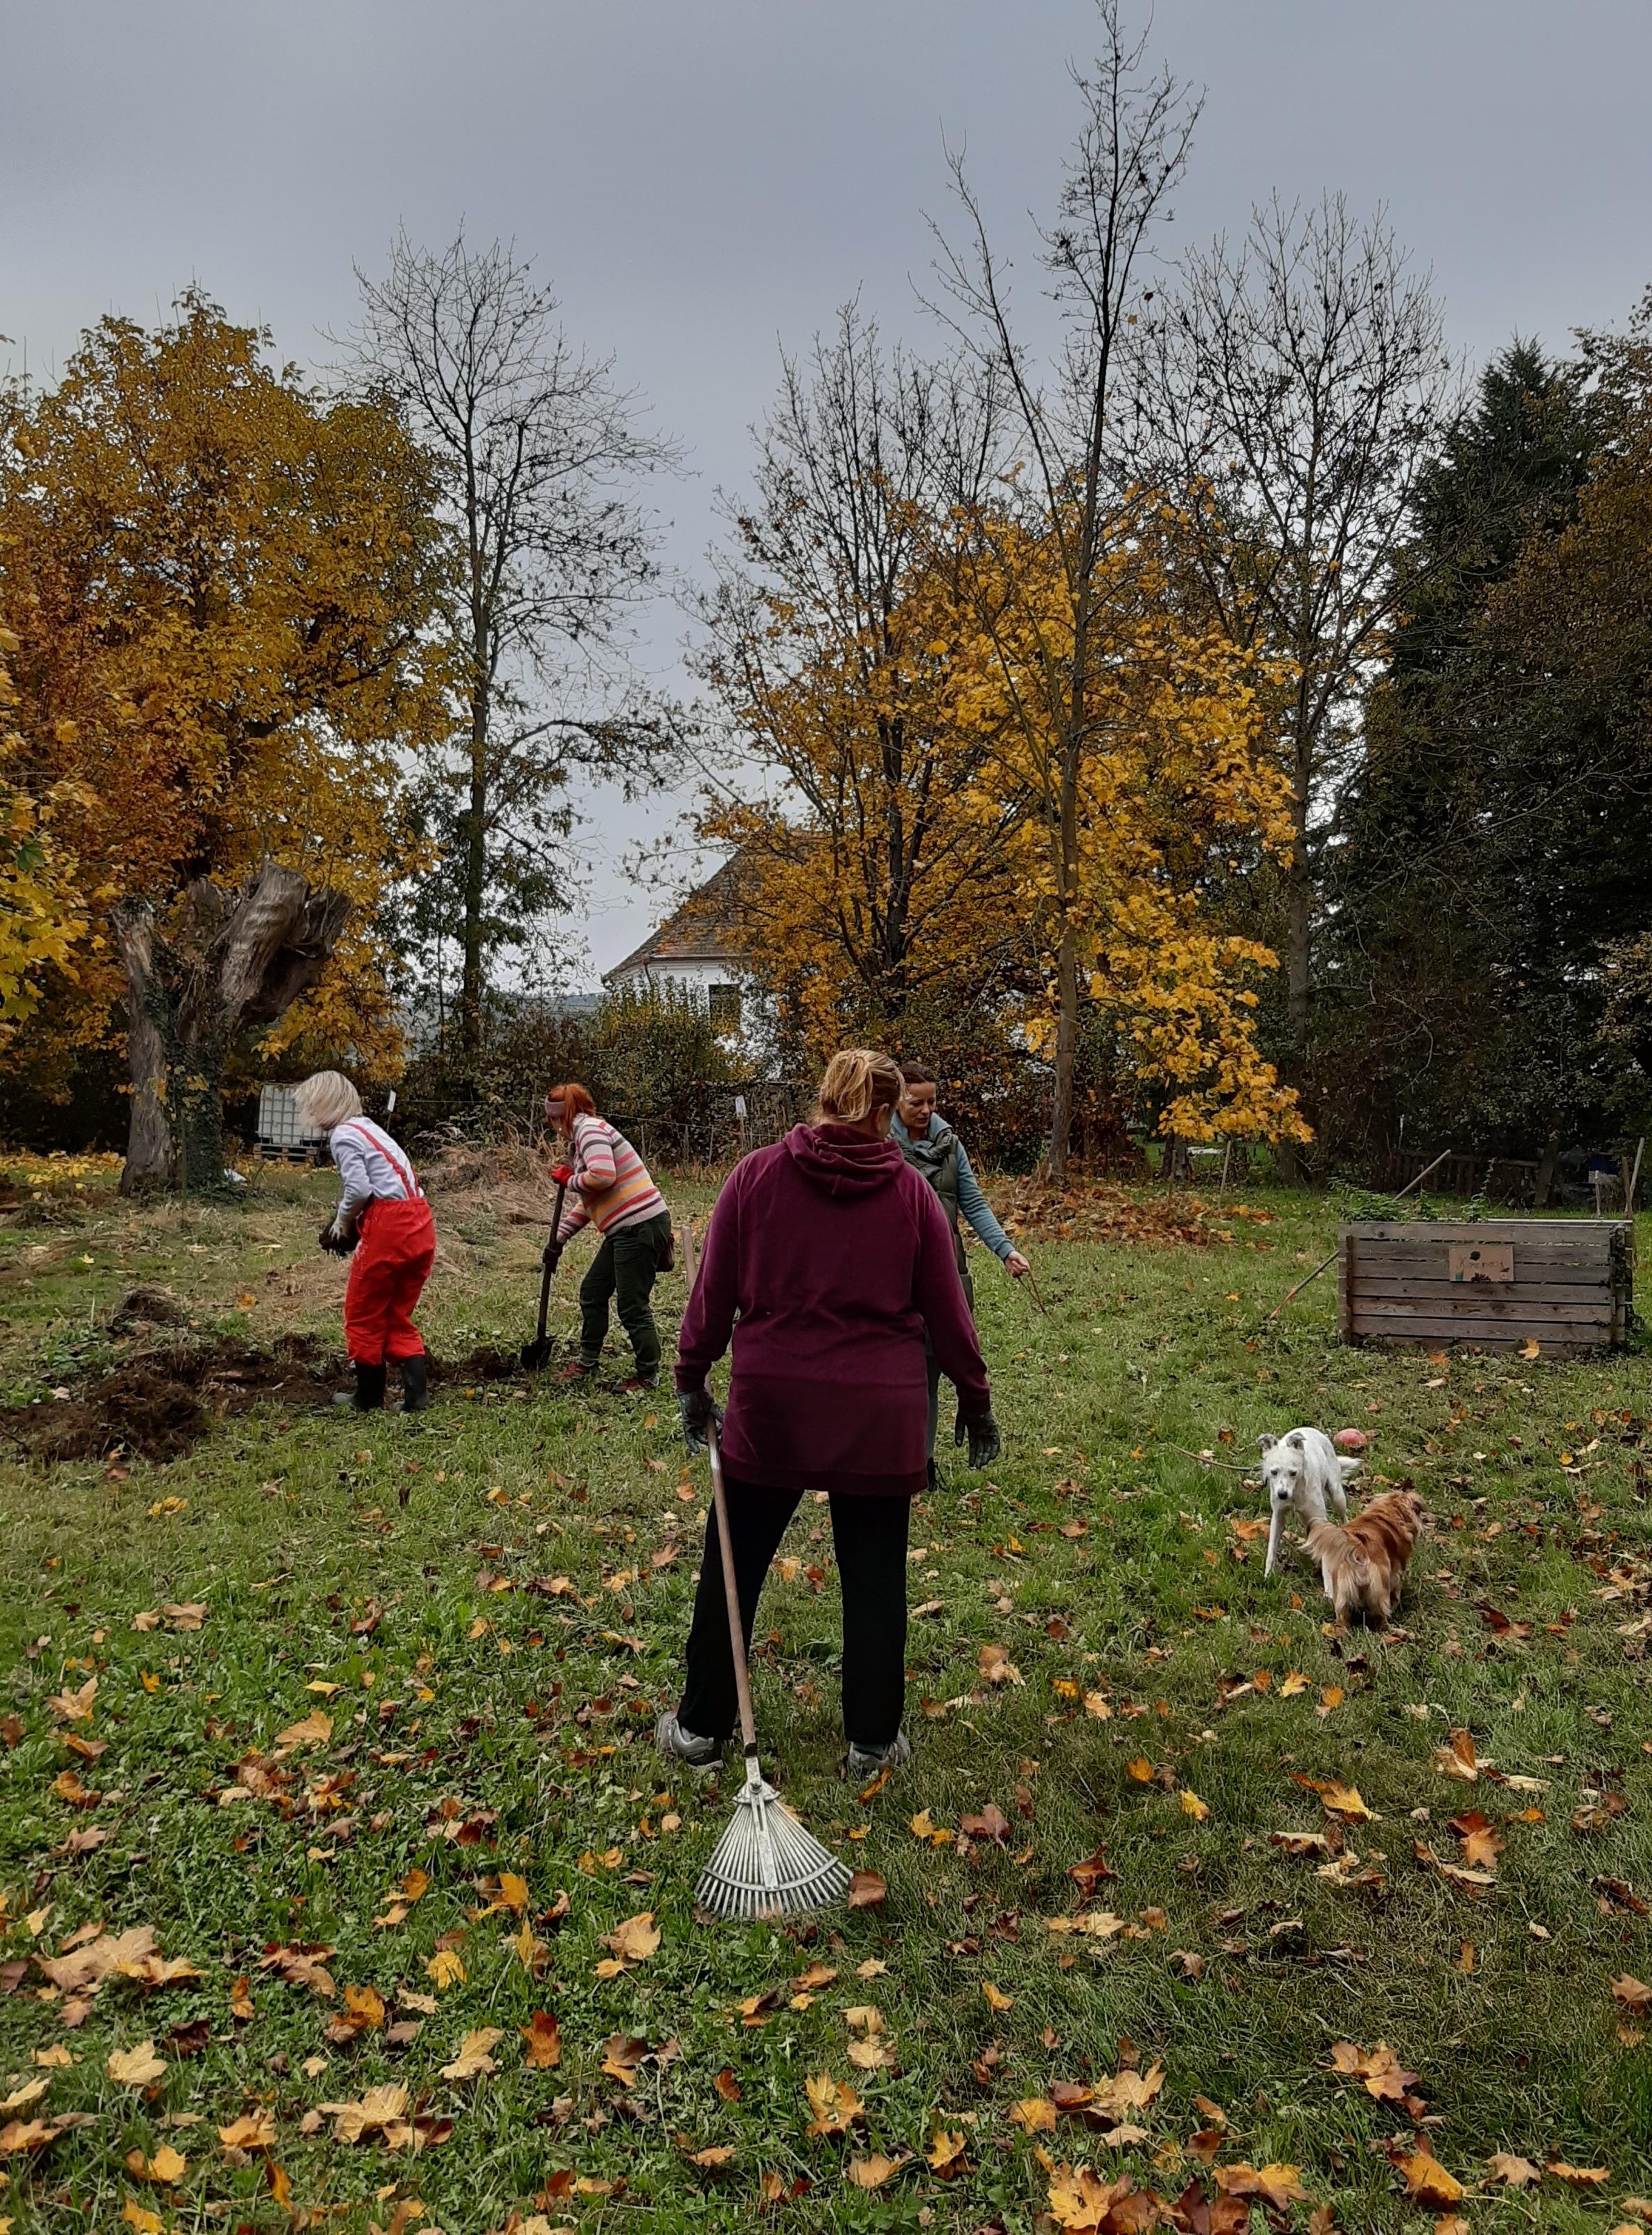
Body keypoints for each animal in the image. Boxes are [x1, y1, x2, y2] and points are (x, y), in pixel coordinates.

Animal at [1270, 1430, 1359, 1573]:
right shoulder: (1278, 1516)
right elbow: (1271, 1550)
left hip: (1337, 1496)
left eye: (1293, 1473)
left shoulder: (1320, 1516)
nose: (1282, 1494)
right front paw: (1268, 1575)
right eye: (1274, 1472)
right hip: (1305, 1516)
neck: (1296, 1491)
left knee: (1344, 1517)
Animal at [1314, 1501, 1430, 1627]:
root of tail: (1358, 1547)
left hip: (1341, 1592)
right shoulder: (1397, 1572)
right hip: (1380, 1588)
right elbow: (1396, 1593)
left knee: (1342, 1616)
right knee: (1381, 1615)